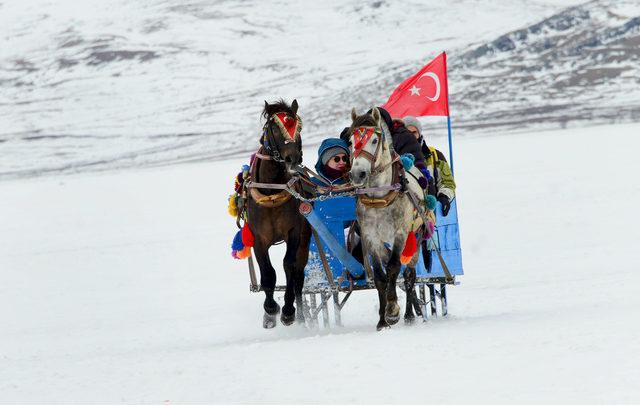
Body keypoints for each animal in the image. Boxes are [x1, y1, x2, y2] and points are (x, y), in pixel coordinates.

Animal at [246, 98, 312, 328]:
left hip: (305, 240)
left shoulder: (294, 232)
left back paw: (300, 315)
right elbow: (268, 274)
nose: (293, 158)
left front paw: (288, 311)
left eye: (299, 127)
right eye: (275, 128)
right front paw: (270, 310)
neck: (271, 193)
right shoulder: (258, 238)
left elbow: (288, 266)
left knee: (299, 276)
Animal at [348, 108, 428, 332]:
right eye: (350, 141)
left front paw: (392, 311)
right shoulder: (371, 237)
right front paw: (382, 321)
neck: (379, 197)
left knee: (409, 276)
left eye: (375, 140)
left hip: (415, 241)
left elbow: (393, 267)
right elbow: (380, 276)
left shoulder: (400, 233)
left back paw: (410, 314)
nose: (358, 174)